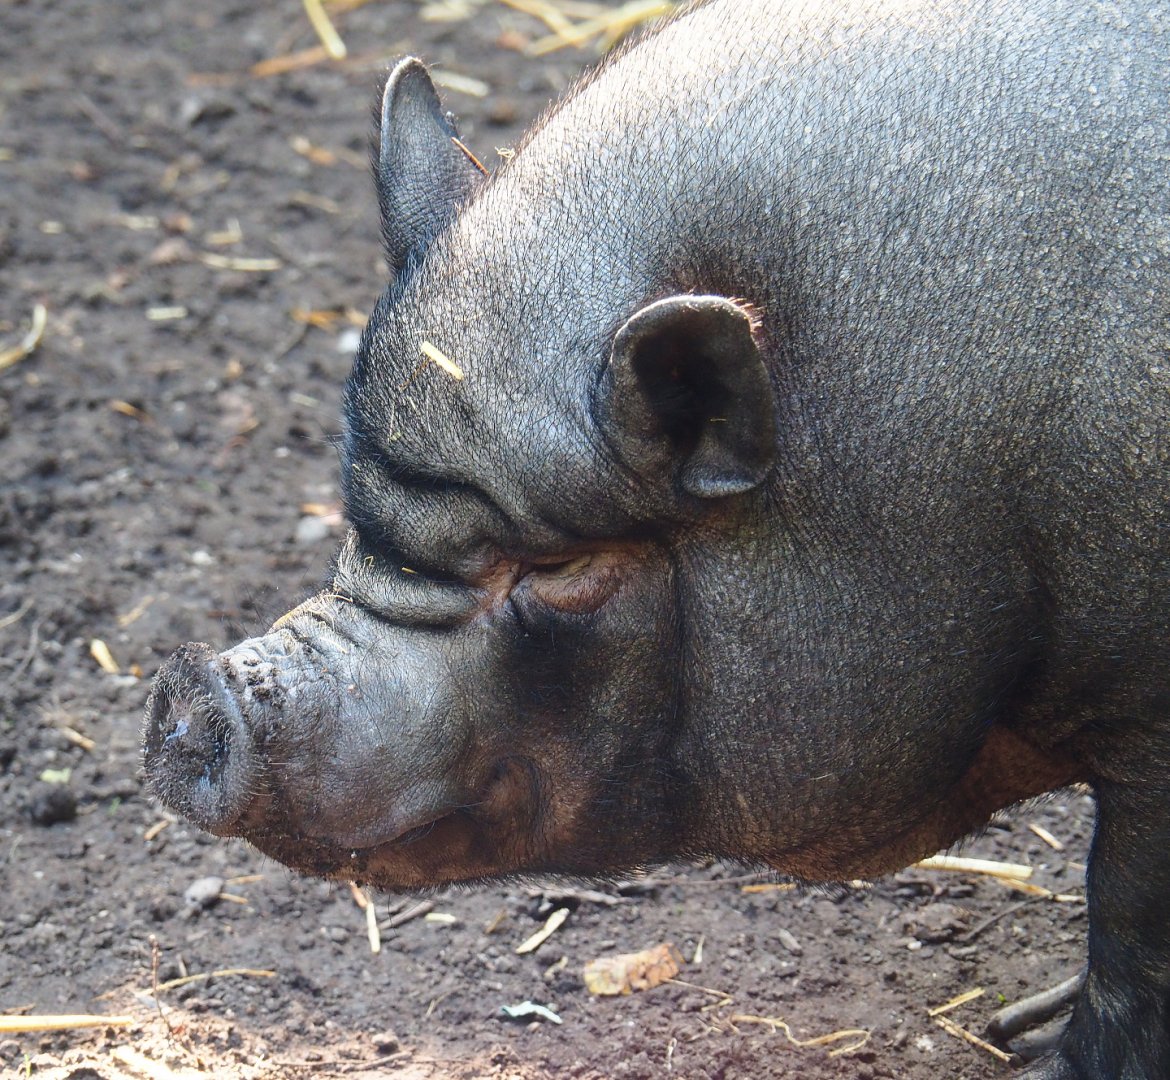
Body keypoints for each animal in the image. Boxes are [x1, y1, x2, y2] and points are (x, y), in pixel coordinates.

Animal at [143, 0, 1170, 1076]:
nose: (191, 688)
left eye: (558, 567)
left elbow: (1128, 916)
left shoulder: (1151, 725)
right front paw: (1015, 1032)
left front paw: (1035, 1052)